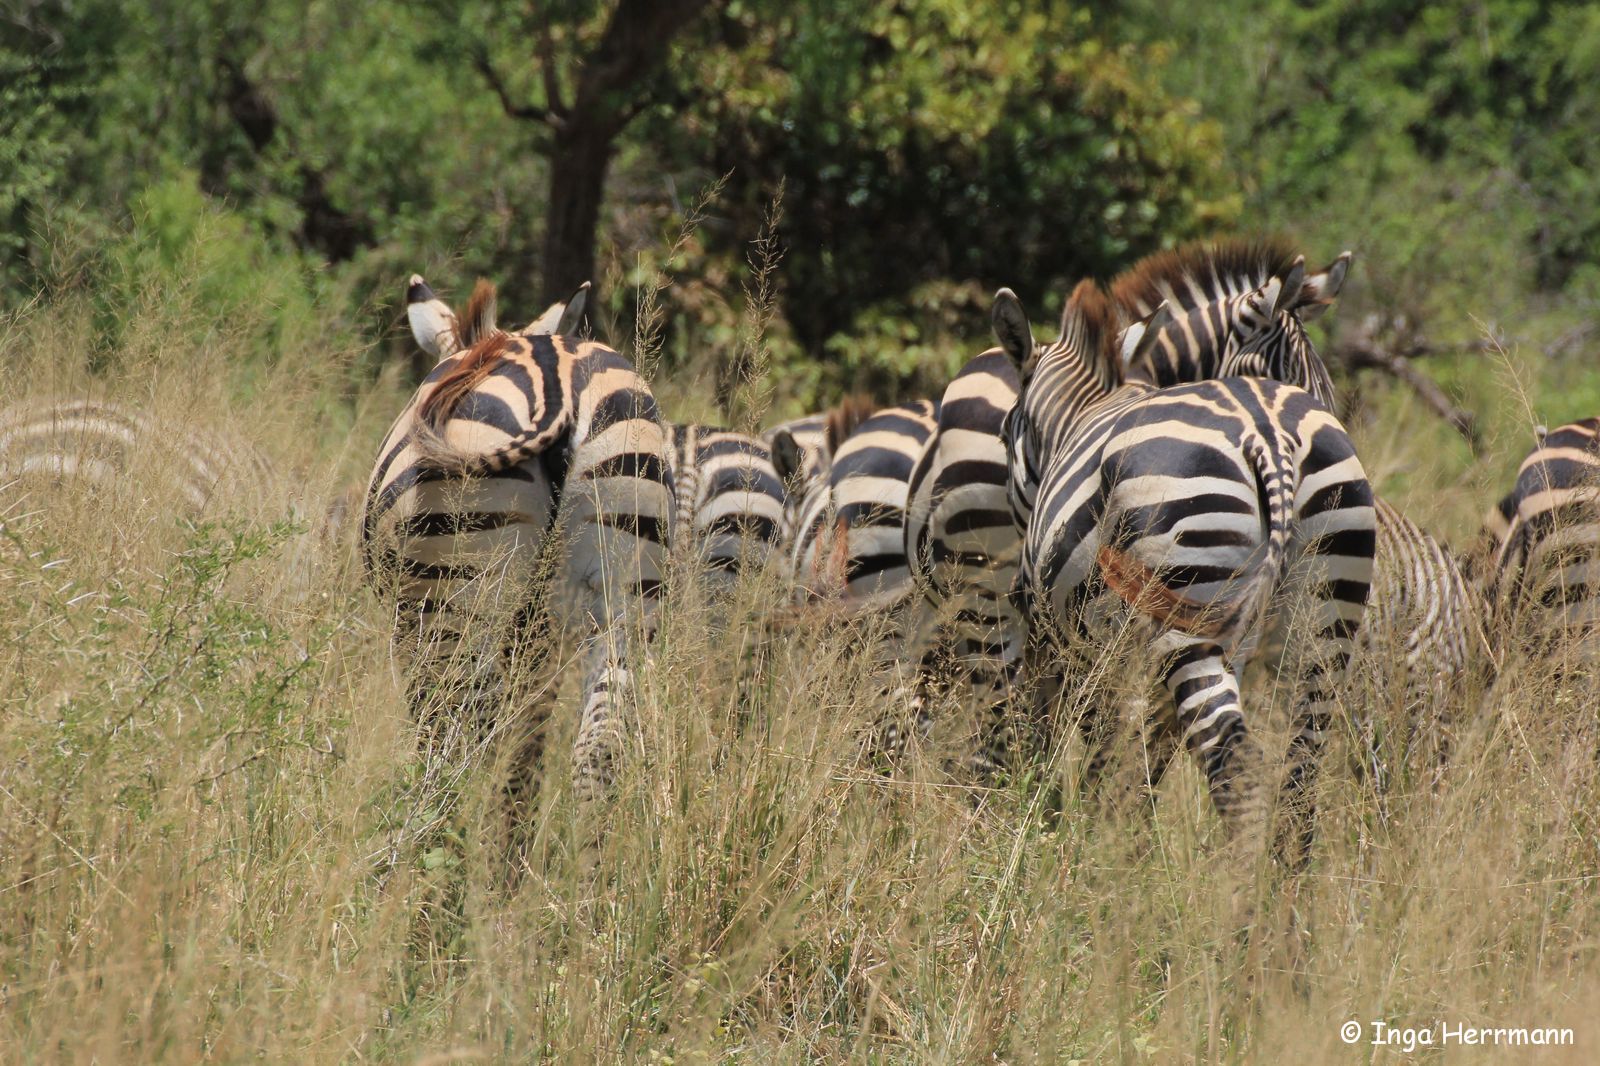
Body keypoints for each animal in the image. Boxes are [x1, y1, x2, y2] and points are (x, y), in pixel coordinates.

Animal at [368, 272, 675, 806]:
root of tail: (561, 385)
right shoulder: (540, 642)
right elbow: (530, 740)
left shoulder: (414, 628)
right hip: (627, 593)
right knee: (598, 748)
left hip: (460, 599)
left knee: (460, 739)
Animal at [998, 278, 1376, 870]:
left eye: (1002, 435)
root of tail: (1272, 438)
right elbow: (1144, 764)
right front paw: (1121, 848)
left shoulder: (1066, 646)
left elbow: (1081, 747)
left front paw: (1069, 842)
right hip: (1324, 617)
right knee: (1300, 777)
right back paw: (1281, 896)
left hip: (1188, 613)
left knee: (1237, 767)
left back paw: (1233, 897)